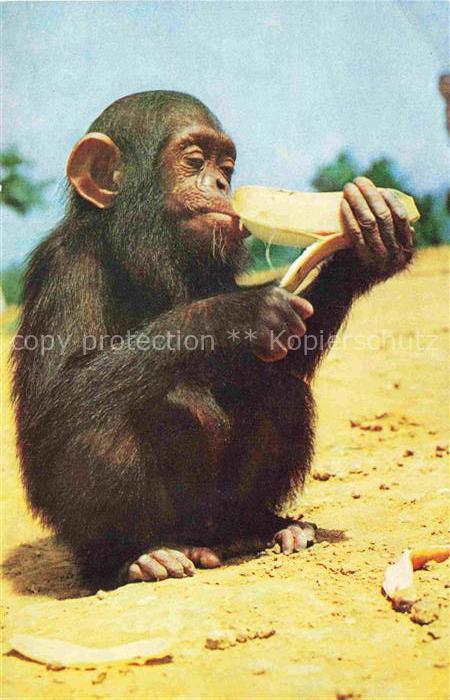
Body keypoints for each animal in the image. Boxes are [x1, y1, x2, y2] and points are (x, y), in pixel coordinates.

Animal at [12, 91, 414, 587]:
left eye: (227, 165)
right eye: (195, 159)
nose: (222, 184)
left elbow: (281, 356)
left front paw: (368, 244)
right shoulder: (67, 267)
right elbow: (57, 397)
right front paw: (238, 313)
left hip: (219, 514)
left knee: (277, 389)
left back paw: (264, 525)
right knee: (108, 419)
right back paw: (139, 556)